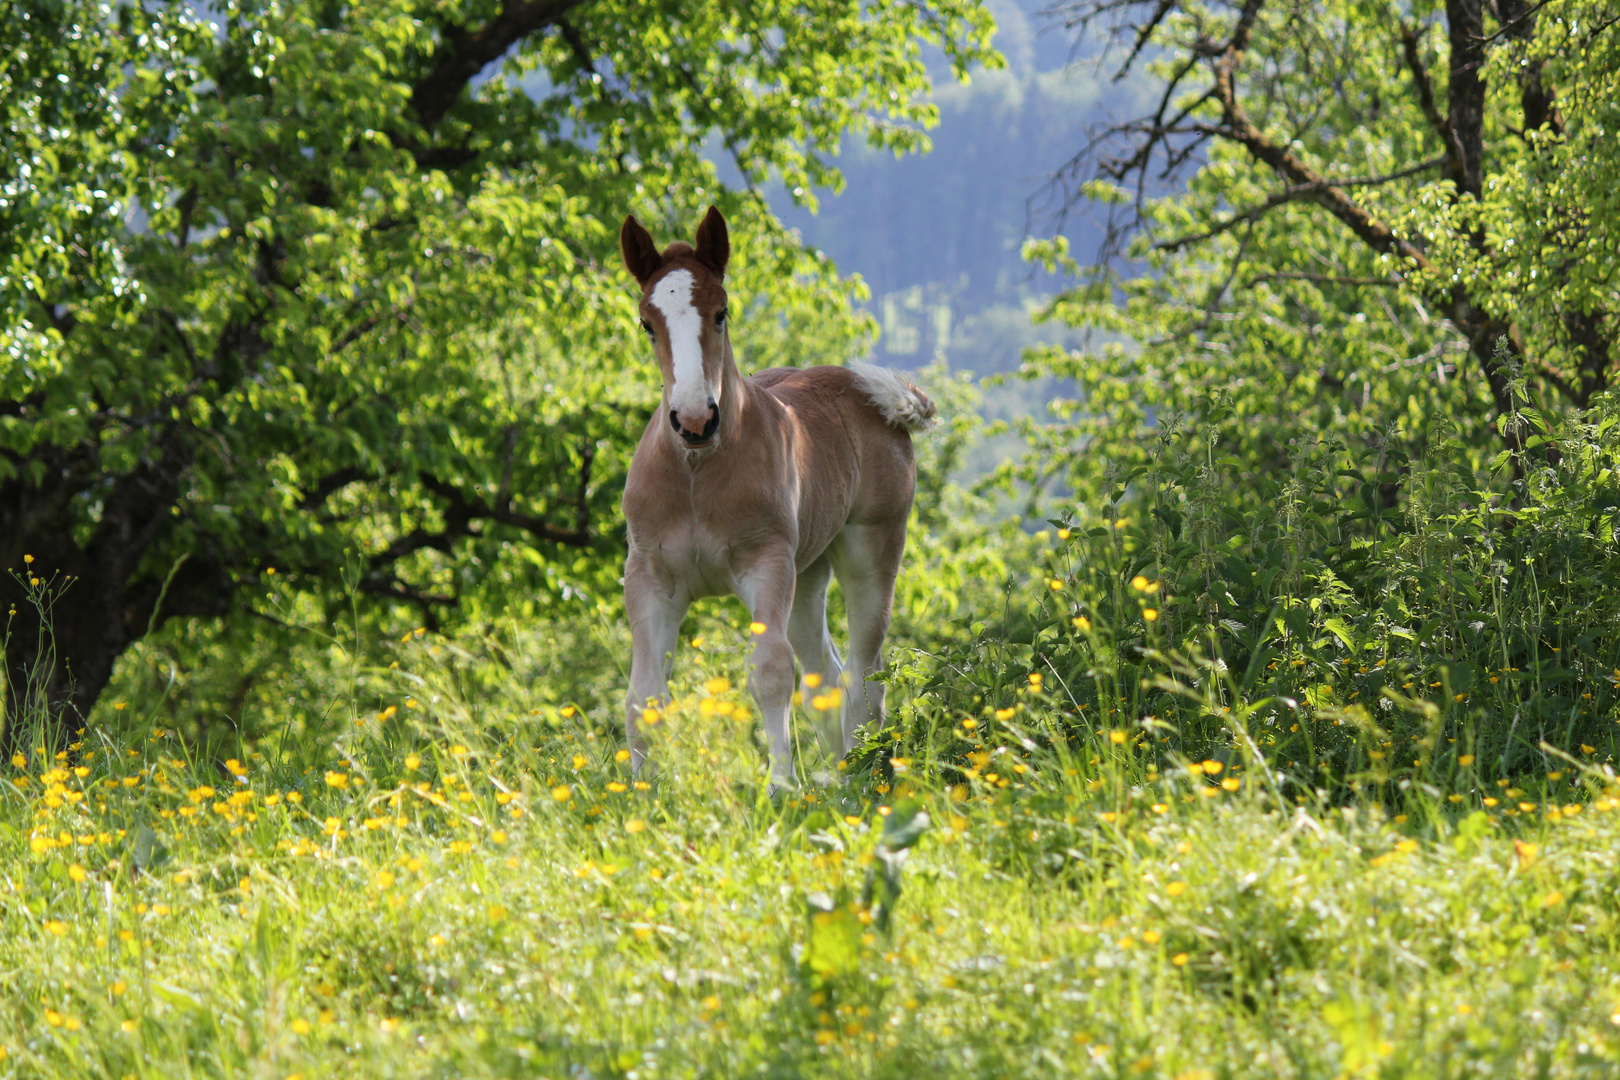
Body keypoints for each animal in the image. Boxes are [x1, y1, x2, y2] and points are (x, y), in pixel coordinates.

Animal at [618, 204, 939, 793]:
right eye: (647, 323)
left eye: (721, 312)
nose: (694, 420)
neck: (696, 475)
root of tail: (868, 395)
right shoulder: (650, 578)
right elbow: (643, 697)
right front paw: (640, 795)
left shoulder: (766, 564)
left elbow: (770, 672)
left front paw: (782, 789)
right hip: (808, 571)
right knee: (825, 677)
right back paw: (840, 775)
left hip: (869, 552)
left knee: (865, 677)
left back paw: (860, 777)